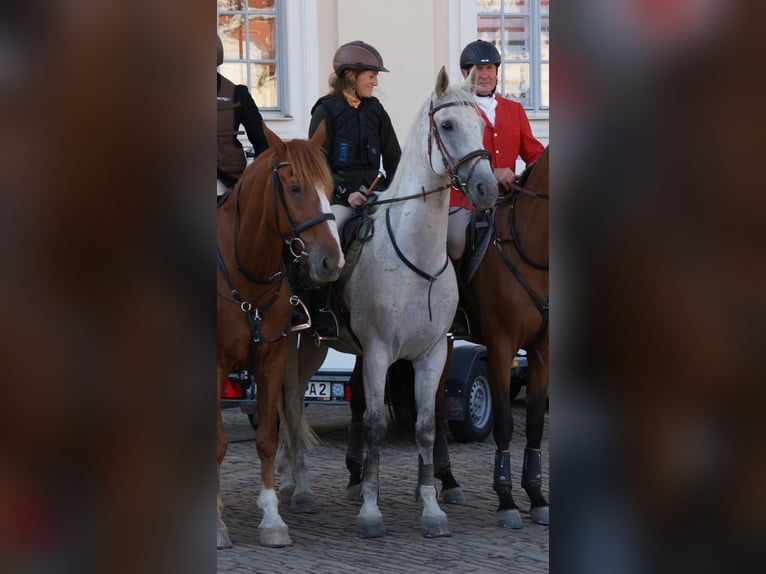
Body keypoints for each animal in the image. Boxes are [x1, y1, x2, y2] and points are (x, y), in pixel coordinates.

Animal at [218, 125, 346, 548]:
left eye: (330, 185)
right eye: (294, 188)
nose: (331, 261)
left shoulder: (272, 361)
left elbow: (268, 439)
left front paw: (272, 519)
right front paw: (217, 524)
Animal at [280, 67, 500, 540]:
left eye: (481, 126)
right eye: (448, 125)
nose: (487, 188)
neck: (418, 255)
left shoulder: (432, 354)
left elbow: (426, 425)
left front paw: (432, 508)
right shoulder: (380, 352)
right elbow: (377, 424)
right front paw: (369, 508)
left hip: (316, 348)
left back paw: (289, 482)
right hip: (292, 345)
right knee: (287, 403)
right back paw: (299, 489)